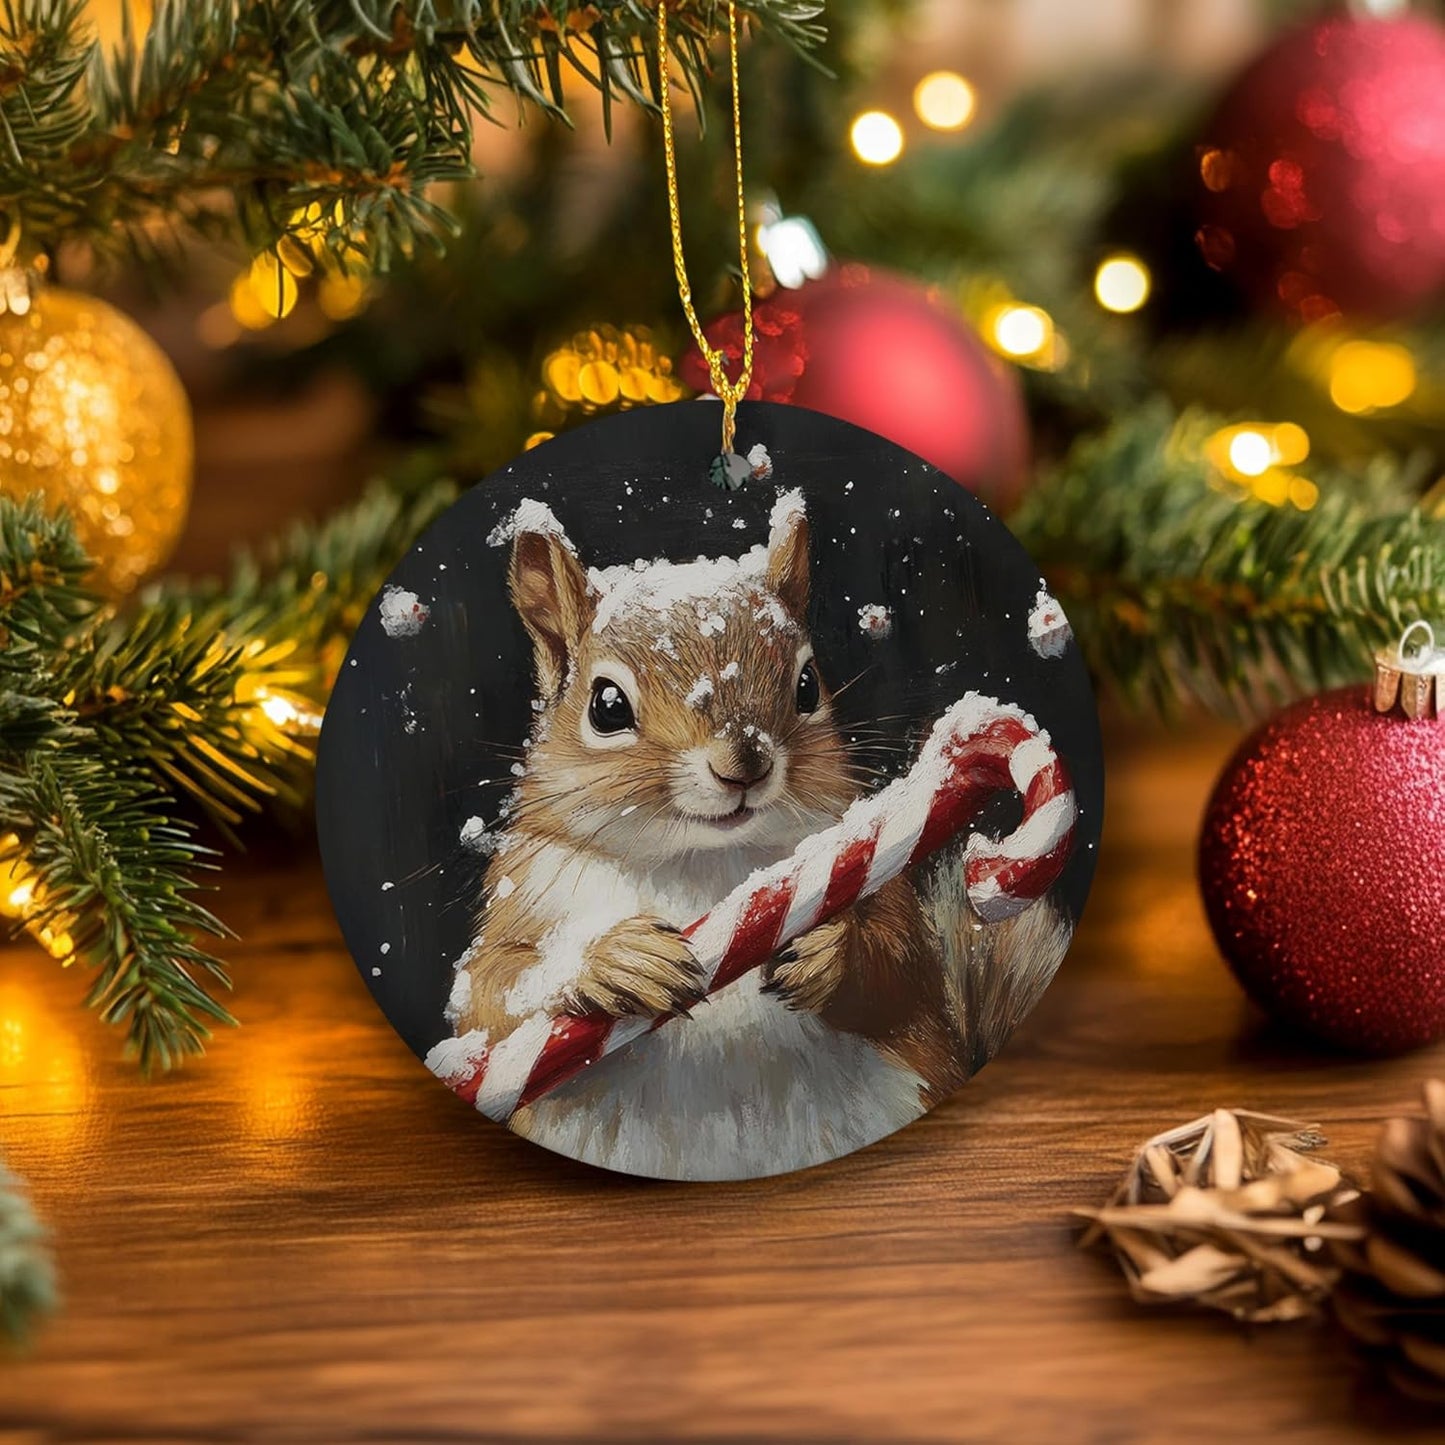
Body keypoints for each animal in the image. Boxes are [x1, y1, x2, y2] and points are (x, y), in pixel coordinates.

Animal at [449, 492, 967, 1180]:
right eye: (606, 707)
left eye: (808, 685)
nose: (744, 762)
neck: (702, 861)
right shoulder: (523, 898)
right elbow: (490, 998)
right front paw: (614, 962)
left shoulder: (875, 873)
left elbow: (905, 969)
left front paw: (830, 952)